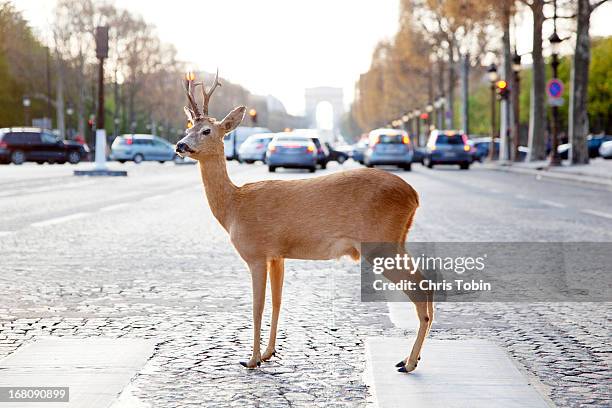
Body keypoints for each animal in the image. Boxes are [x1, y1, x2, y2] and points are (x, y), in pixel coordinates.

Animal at [175, 71, 436, 372]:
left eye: (207, 130)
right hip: (396, 241)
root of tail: (414, 195)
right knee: (426, 283)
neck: (234, 207)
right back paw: (409, 358)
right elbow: (277, 301)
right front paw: (269, 353)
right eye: (188, 126)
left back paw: (409, 362)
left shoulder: (256, 252)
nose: (180, 145)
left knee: (419, 286)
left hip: (380, 243)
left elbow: (257, 306)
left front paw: (251, 359)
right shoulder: (277, 255)